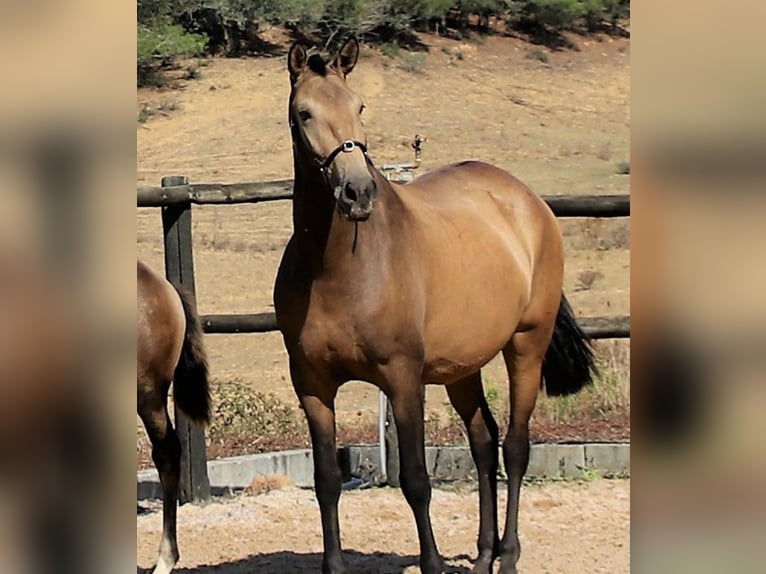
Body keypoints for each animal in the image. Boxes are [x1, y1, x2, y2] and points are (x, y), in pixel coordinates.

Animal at [272, 37, 596, 574]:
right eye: (304, 114)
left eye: (359, 106)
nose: (357, 193)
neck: (338, 269)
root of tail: (528, 200)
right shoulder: (312, 385)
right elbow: (327, 482)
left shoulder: (403, 380)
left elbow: (416, 480)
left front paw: (433, 562)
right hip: (462, 366)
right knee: (484, 441)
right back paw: (484, 555)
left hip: (526, 345)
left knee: (516, 445)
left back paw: (508, 555)